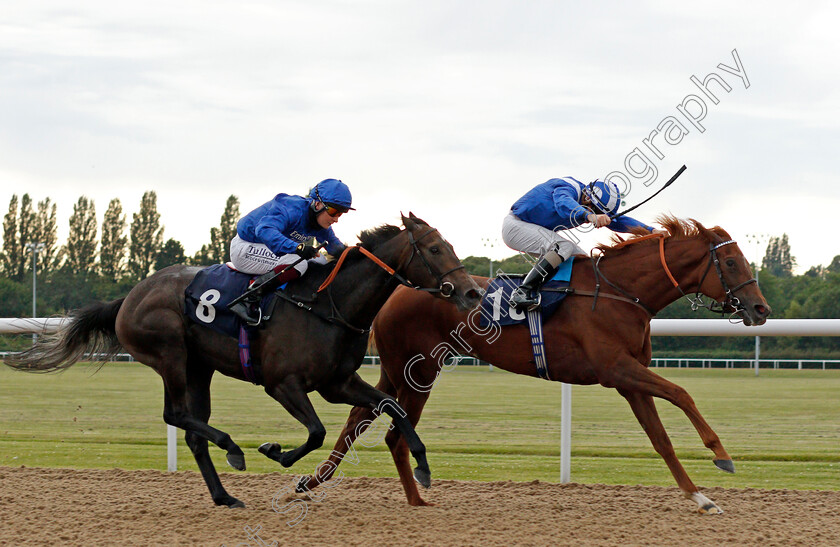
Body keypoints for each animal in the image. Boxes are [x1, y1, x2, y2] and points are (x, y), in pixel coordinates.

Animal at [4, 214, 480, 510]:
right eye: (434, 249)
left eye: (450, 245)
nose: (471, 292)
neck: (326, 302)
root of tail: (130, 297)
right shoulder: (283, 384)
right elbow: (316, 432)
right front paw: (275, 452)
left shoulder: (338, 383)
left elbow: (392, 406)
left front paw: (423, 467)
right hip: (171, 355)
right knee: (177, 415)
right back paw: (232, 448)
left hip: (199, 367)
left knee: (191, 429)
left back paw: (224, 495)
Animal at [306, 217, 772, 512]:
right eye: (731, 262)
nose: (760, 308)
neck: (619, 293)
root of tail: (400, 291)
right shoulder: (616, 369)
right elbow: (682, 392)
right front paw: (721, 455)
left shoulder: (629, 379)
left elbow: (661, 440)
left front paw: (701, 498)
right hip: (420, 371)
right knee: (391, 432)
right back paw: (411, 496)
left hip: (398, 369)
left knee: (359, 419)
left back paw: (316, 482)